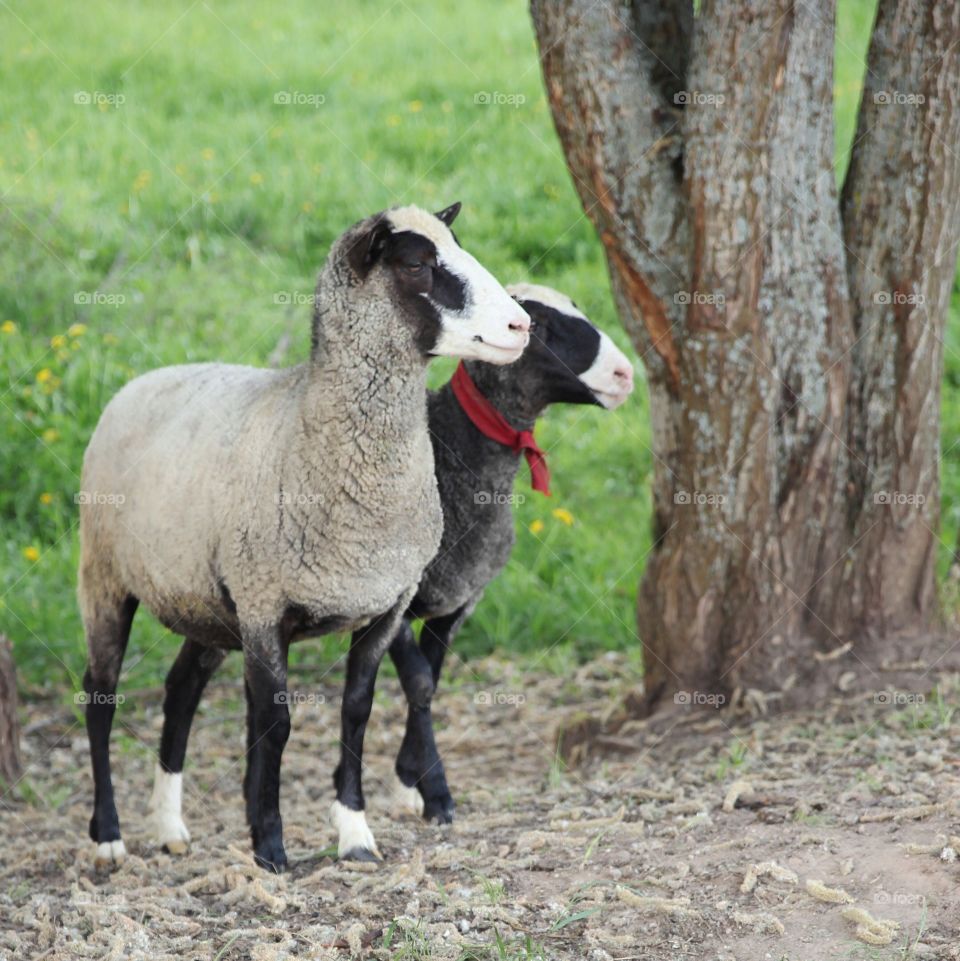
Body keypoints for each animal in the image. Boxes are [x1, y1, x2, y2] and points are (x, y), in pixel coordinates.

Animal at [78, 202, 532, 872]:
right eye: (418, 265)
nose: (521, 325)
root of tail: (141, 381)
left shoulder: (383, 606)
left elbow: (356, 712)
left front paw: (356, 834)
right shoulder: (267, 608)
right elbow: (276, 725)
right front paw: (270, 846)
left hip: (210, 603)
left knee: (181, 689)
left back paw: (170, 826)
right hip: (105, 573)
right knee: (99, 696)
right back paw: (108, 836)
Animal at [387, 283, 634, 823]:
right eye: (537, 326)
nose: (625, 374)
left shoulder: (459, 603)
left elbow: (431, 679)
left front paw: (409, 775)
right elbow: (418, 682)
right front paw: (436, 794)